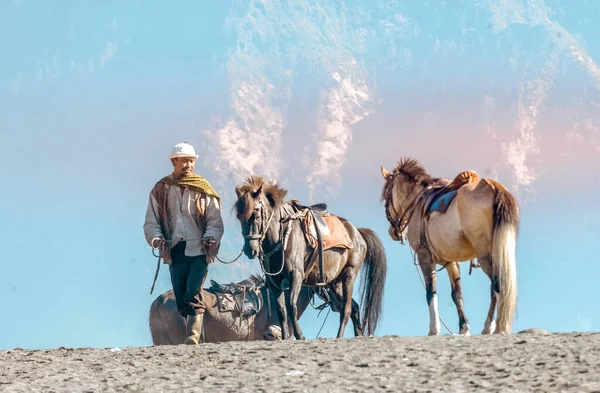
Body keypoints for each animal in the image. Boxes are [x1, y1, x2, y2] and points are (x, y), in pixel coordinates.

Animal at [232, 176, 386, 338]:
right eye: (239, 217)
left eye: (255, 214)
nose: (250, 250)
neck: (282, 237)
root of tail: (357, 233)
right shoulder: (274, 281)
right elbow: (281, 310)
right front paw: (285, 337)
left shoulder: (296, 276)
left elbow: (291, 306)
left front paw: (299, 335)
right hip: (334, 283)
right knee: (354, 308)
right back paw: (357, 335)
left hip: (349, 275)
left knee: (346, 309)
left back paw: (339, 336)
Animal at [382, 158, 516, 336]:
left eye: (385, 196)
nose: (393, 232)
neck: (416, 201)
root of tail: (494, 187)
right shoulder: (451, 262)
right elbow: (457, 294)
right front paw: (464, 328)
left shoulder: (424, 257)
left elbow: (431, 292)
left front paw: (434, 329)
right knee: (495, 288)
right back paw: (488, 326)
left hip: (486, 256)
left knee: (498, 285)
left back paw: (498, 327)